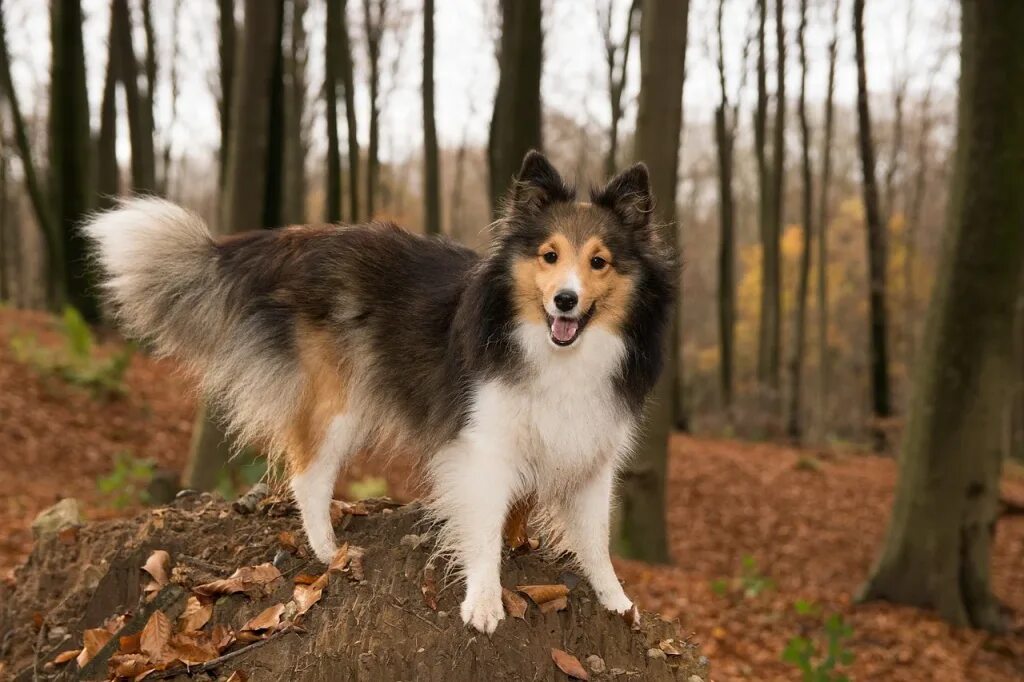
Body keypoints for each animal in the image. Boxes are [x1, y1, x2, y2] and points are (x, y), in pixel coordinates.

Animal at [83, 150, 675, 630]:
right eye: (549, 256)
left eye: (598, 261)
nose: (565, 302)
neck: (556, 351)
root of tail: (298, 240)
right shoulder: (484, 447)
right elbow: (483, 529)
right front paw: (484, 601)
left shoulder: (591, 455)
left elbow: (595, 540)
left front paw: (616, 601)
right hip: (338, 403)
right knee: (307, 475)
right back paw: (329, 551)